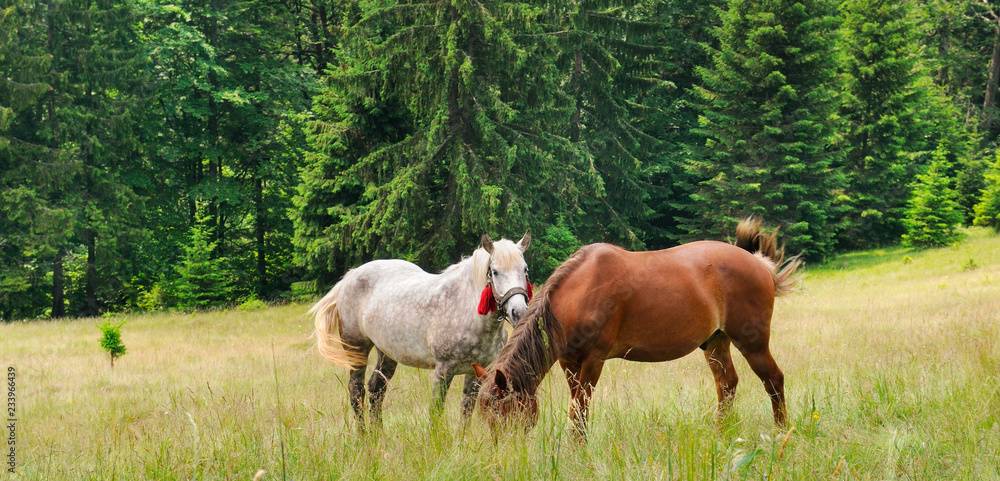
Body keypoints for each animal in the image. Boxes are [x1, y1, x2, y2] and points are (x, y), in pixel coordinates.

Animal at [312, 232, 532, 430]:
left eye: (525, 269)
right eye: (495, 272)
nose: (519, 312)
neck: (468, 311)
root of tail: (351, 276)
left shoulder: (478, 371)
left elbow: (466, 411)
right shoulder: (444, 369)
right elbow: (436, 410)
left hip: (387, 354)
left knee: (376, 390)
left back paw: (377, 436)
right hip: (357, 350)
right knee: (357, 391)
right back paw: (364, 437)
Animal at [472, 218, 801, 437]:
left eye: (502, 414)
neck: (577, 293)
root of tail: (759, 263)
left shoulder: (594, 359)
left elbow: (579, 408)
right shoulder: (569, 362)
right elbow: (577, 407)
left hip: (752, 342)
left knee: (773, 381)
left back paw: (780, 432)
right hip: (715, 343)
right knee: (727, 385)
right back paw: (720, 433)